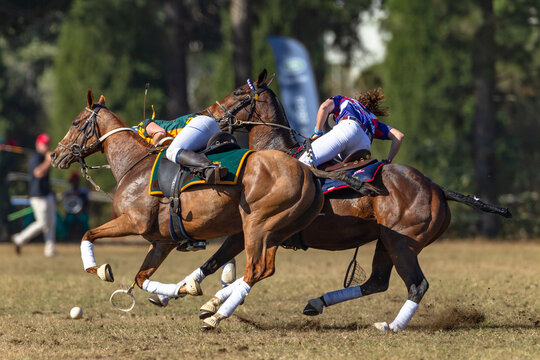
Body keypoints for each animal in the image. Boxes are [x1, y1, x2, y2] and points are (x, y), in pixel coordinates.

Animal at [50, 90, 324, 306]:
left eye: (75, 122)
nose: (55, 155)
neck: (133, 164)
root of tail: (306, 171)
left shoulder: (134, 221)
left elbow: (88, 234)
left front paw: (99, 270)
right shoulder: (162, 241)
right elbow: (141, 278)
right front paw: (182, 288)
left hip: (258, 225)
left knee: (256, 269)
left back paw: (214, 315)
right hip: (274, 231)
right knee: (257, 268)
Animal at [165, 70, 510, 332]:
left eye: (238, 92)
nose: (207, 114)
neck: (274, 153)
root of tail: (437, 188)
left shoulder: (257, 228)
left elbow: (236, 265)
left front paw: (212, 306)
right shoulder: (247, 229)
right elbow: (215, 261)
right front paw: (186, 294)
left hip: (403, 243)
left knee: (416, 285)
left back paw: (391, 326)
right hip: (387, 240)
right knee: (376, 282)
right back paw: (318, 303)